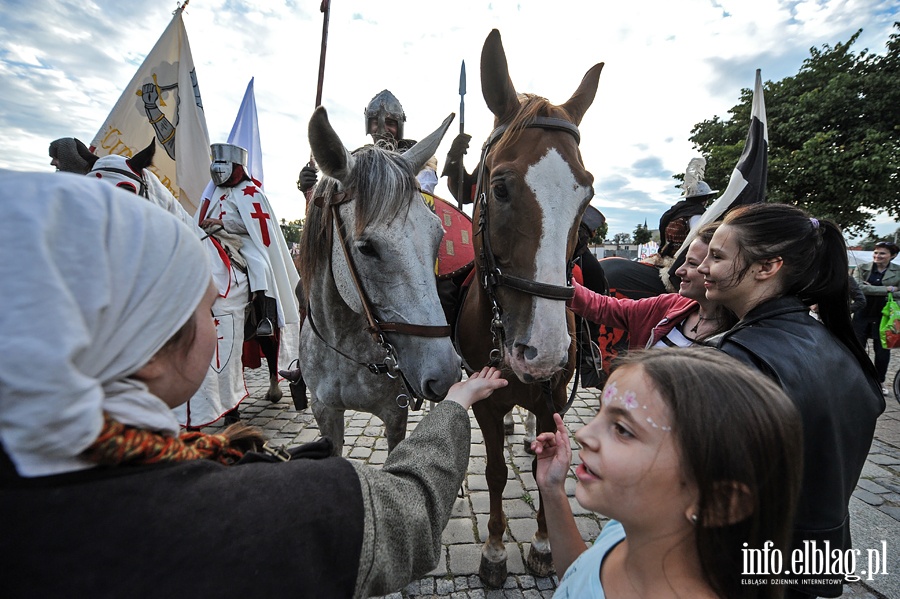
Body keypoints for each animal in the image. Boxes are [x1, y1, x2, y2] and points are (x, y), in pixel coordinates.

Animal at [458, 30, 604, 588]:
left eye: (586, 193)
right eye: (499, 187)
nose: (542, 350)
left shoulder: (553, 395)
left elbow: (547, 474)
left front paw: (542, 543)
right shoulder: (484, 400)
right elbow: (496, 473)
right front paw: (497, 550)